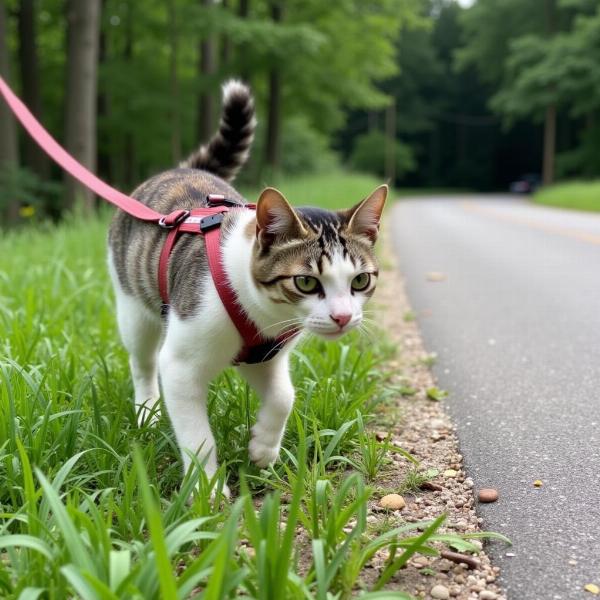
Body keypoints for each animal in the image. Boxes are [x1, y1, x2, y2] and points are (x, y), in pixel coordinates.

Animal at [108, 79, 386, 492]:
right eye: (306, 282)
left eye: (360, 280)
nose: (342, 317)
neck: (262, 315)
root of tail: (180, 171)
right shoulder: (180, 365)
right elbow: (198, 438)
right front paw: (208, 492)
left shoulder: (265, 355)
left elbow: (284, 396)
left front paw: (263, 448)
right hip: (133, 308)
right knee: (142, 363)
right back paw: (147, 412)